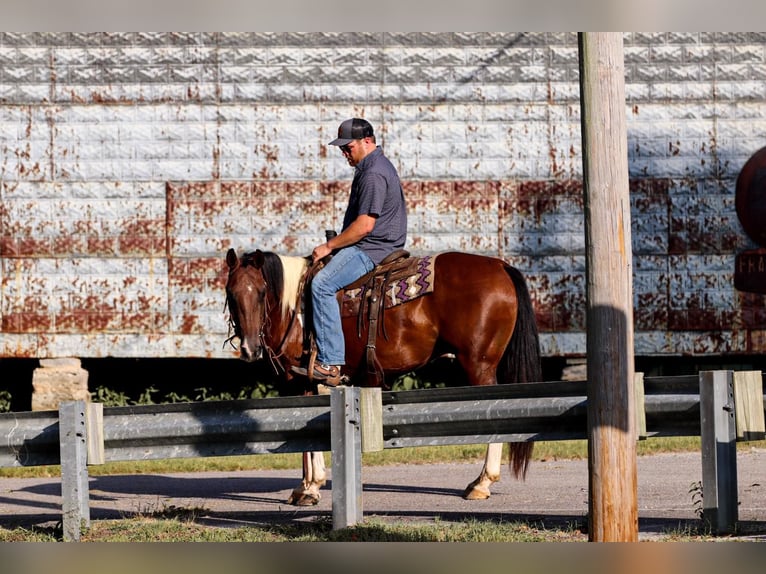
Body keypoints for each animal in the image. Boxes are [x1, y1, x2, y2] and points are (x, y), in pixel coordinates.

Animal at [225, 249, 544, 508]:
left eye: (261, 292)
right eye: (231, 293)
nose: (249, 349)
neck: (295, 306)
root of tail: (500, 265)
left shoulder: (300, 380)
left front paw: (309, 489)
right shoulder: (308, 383)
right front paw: (307, 485)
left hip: (479, 364)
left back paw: (482, 483)